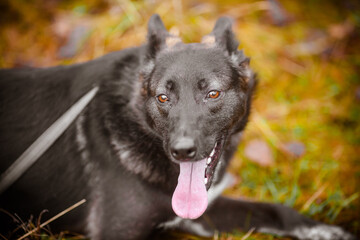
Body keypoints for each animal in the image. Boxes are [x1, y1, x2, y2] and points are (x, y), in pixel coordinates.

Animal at [0, 15, 354, 240]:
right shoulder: (116, 230)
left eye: (212, 93)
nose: (182, 152)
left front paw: (328, 229)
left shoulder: (200, 215)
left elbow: (274, 211)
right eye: (163, 97)